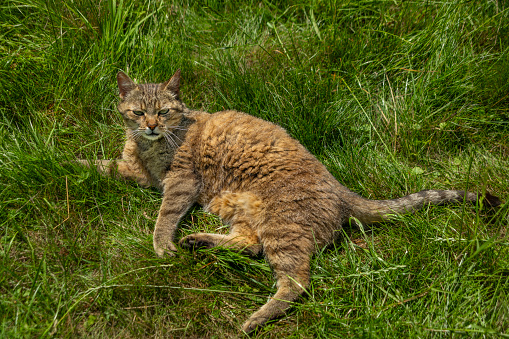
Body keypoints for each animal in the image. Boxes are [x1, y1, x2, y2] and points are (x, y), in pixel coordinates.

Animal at [81, 69, 502, 334]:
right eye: (138, 111)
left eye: (165, 111)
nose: (152, 126)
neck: (150, 151)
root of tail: (342, 190)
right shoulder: (138, 171)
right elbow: (103, 166)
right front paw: (74, 163)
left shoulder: (182, 181)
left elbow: (164, 215)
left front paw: (161, 245)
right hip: (239, 209)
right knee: (249, 245)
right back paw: (199, 241)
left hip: (282, 227)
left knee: (295, 281)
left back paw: (254, 318)